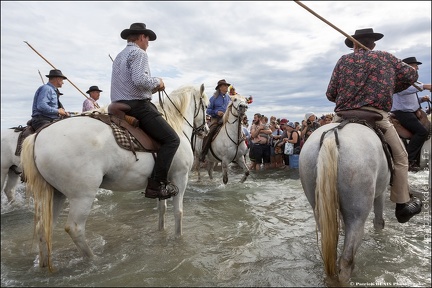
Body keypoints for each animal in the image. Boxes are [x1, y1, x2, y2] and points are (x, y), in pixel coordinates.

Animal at [20, 84, 209, 272]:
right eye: (206, 106)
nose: (205, 130)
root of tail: (37, 137)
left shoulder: (162, 182)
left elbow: (162, 210)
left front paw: (161, 233)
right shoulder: (180, 177)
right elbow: (178, 213)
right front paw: (178, 238)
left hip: (56, 194)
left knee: (44, 228)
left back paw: (44, 265)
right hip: (82, 195)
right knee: (75, 229)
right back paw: (94, 260)